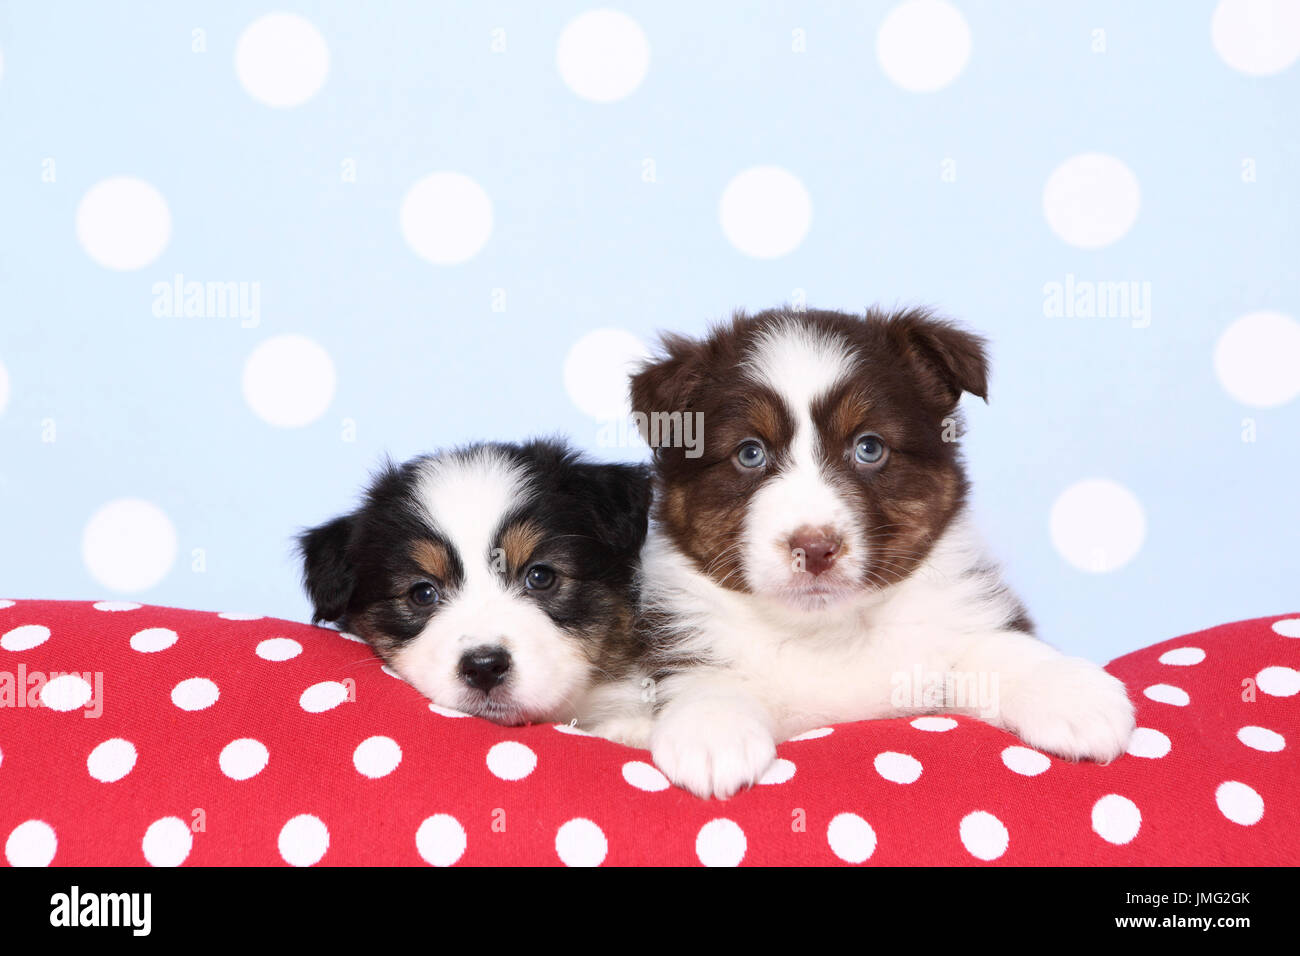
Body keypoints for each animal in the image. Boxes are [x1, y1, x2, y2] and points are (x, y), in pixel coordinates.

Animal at [631, 308, 1138, 801]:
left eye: (869, 447)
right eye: (750, 453)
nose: (815, 548)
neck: (827, 632)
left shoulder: (949, 636)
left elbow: (1000, 650)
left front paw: (1073, 693)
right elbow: (704, 678)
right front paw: (712, 733)